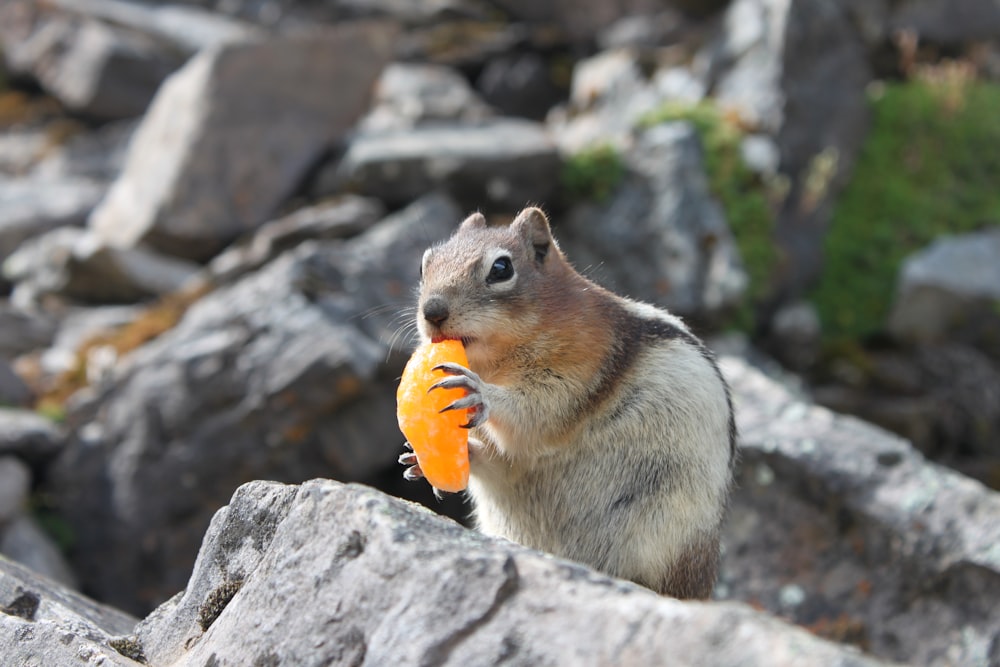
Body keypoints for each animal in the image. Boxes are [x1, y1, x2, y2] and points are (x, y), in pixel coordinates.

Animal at [398, 206, 736, 596]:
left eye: (501, 268)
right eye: (424, 265)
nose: (432, 311)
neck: (497, 360)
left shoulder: (581, 367)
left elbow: (536, 414)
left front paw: (480, 391)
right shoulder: (512, 463)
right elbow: (500, 461)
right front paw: (421, 459)